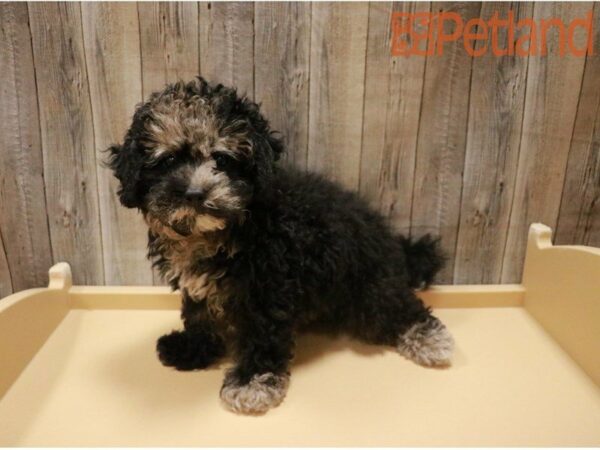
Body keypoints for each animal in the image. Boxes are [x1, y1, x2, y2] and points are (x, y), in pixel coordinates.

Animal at [109, 77, 454, 414]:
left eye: (222, 159)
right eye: (167, 160)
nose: (195, 193)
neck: (221, 231)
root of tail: (394, 244)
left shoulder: (268, 287)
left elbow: (262, 335)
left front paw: (252, 382)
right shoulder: (198, 288)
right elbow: (199, 317)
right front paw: (193, 349)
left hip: (369, 287)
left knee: (398, 306)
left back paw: (430, 339)